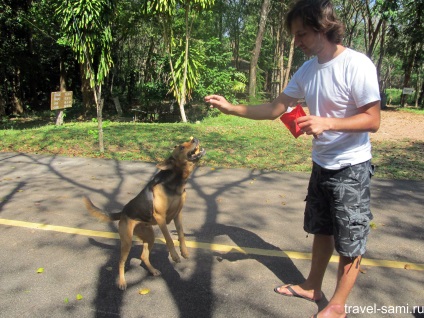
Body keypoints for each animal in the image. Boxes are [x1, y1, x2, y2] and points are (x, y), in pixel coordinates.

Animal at [83, 137, 205, 288]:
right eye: (182, 147)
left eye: (189, 141)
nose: (195, 139)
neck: (176, 182)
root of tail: (122, 212)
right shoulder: (161, 217)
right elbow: (169, 239)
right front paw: (175, 256)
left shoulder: (178, 214)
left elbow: (181, 235)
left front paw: (184, 252)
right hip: (127, 241)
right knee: (121, 261)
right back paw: (122, 282)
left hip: (149, 236)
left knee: (143, 256)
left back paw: (152, 271)